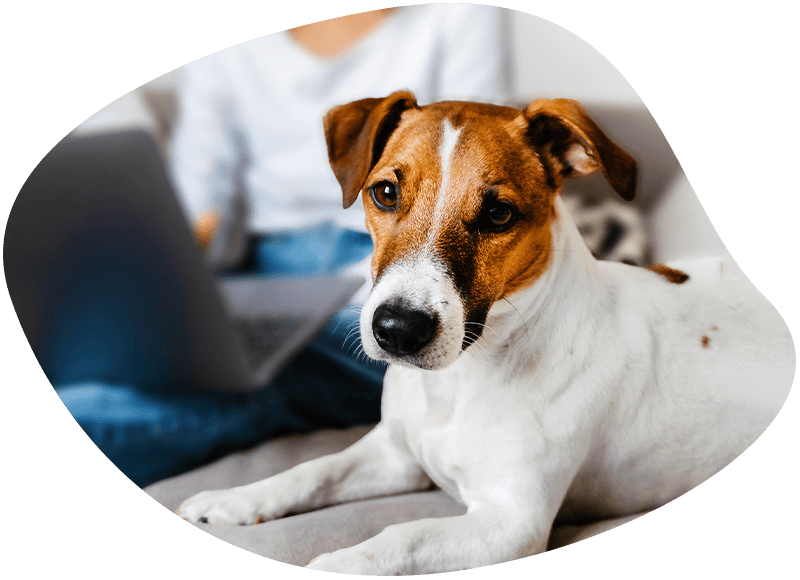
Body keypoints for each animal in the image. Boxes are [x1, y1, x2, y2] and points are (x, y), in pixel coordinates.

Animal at [177, 93, 792, 572]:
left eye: (498, 214)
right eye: (384, 193)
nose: (398, 330)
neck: (458, 382)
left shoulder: (509, 524)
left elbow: (399, 537)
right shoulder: (395, 455)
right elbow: (311, 470)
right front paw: (236, 499)